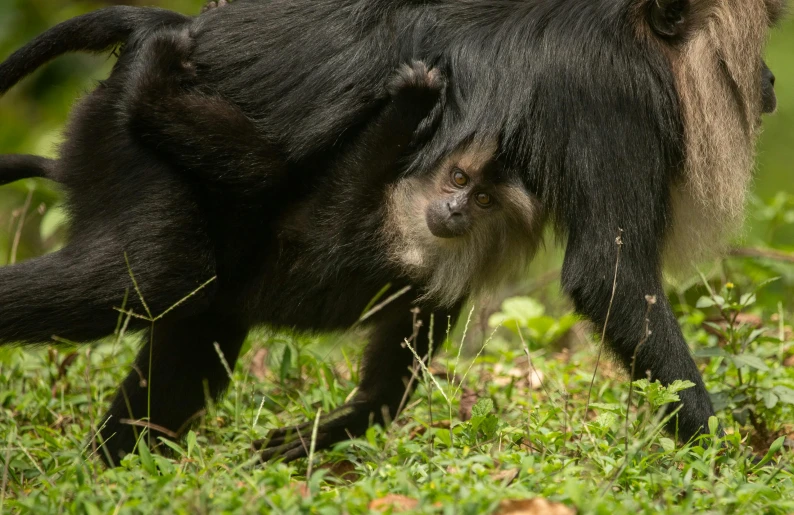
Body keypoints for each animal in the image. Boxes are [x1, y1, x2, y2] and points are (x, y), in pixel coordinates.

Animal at [0, 0, 784, 464]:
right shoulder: (613, 91)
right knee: (145, 274)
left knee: (197, 329)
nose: (772, 80)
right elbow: (609, 277)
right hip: (132, 158)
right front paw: (722, 461)